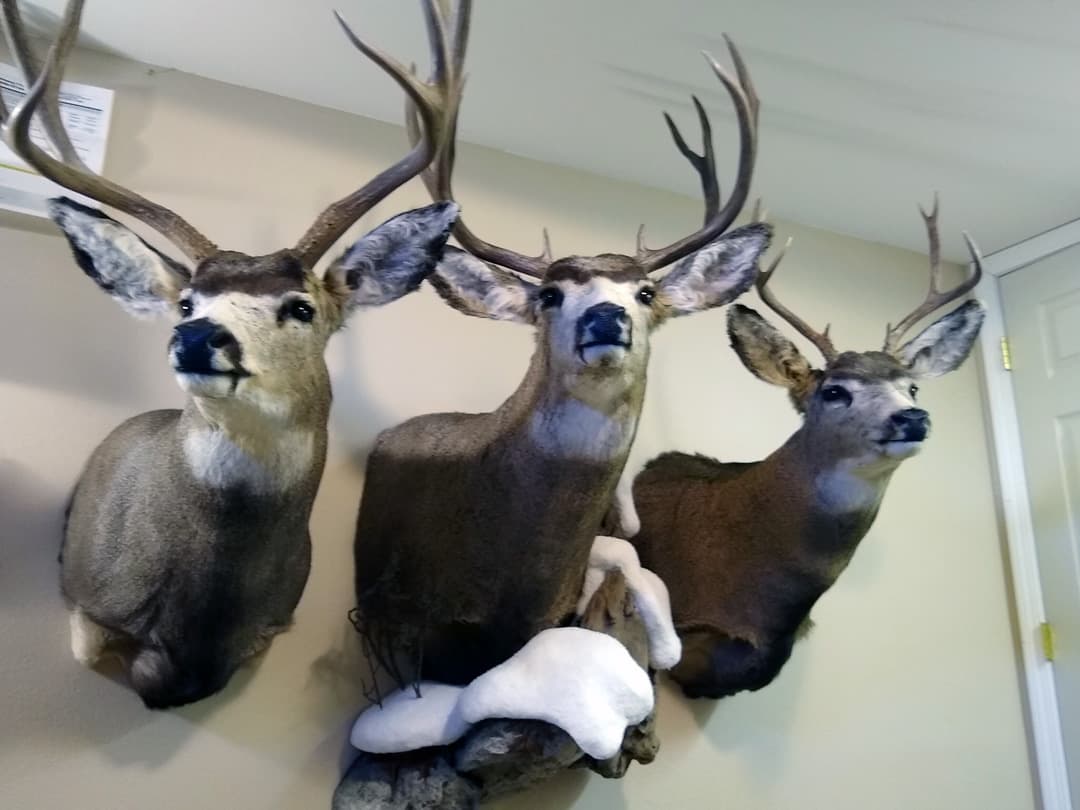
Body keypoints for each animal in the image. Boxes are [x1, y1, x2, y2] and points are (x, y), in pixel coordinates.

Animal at [0, 0, 469, 709]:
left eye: (302, 308)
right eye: (186, 302)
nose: (197, 338)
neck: (202, 616)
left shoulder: (270, 628)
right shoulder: (86, 605)